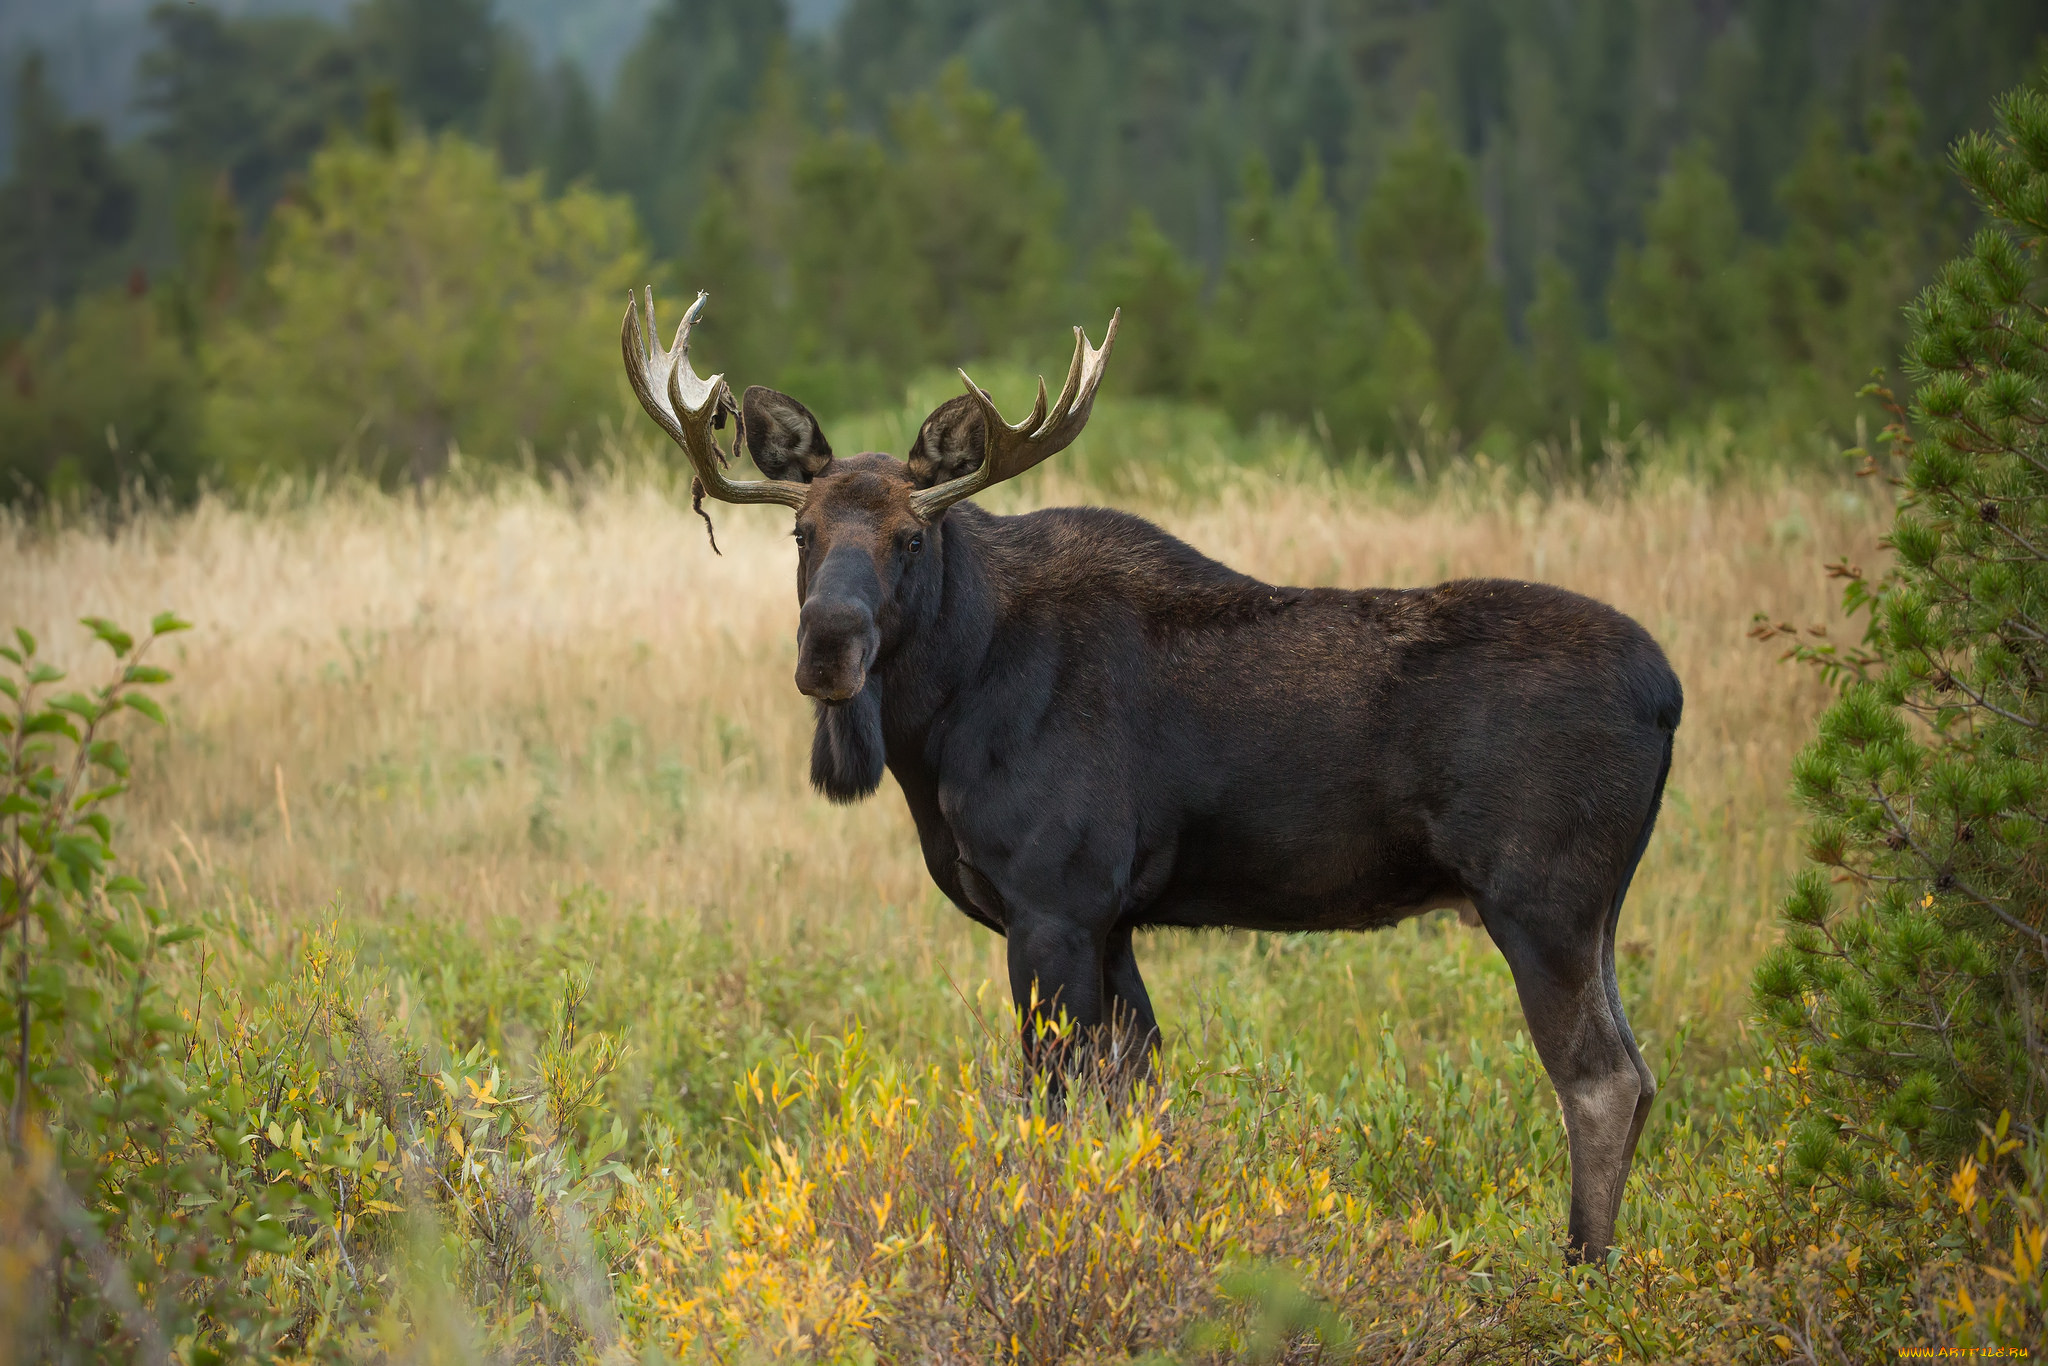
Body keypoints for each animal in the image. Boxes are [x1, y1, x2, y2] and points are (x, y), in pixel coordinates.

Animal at [618, 288, 1679, 1261]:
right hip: (1598, 910)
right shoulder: (1115, 919)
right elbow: (1138, 1099)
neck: (944, 721)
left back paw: (1579, 1270)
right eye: (802, 535)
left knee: (1599, 1080)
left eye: (909, 539)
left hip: (1539, 899)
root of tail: (1668, 693)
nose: (827, 647)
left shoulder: (1055, 903)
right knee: (1638, 1074)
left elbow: (1055, 1107)